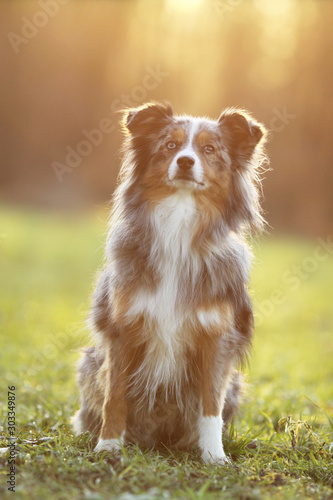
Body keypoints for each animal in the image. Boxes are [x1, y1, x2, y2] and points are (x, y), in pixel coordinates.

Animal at [71, 101, 266, 464]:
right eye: (170, 145)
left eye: (209, 149)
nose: (186, 161)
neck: (179, 222)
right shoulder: (122, 329)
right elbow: (115, 395)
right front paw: (108, 446)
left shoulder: (216, 338)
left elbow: (210, 405)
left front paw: (214, 456)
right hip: (89, 363)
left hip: (235, 382)